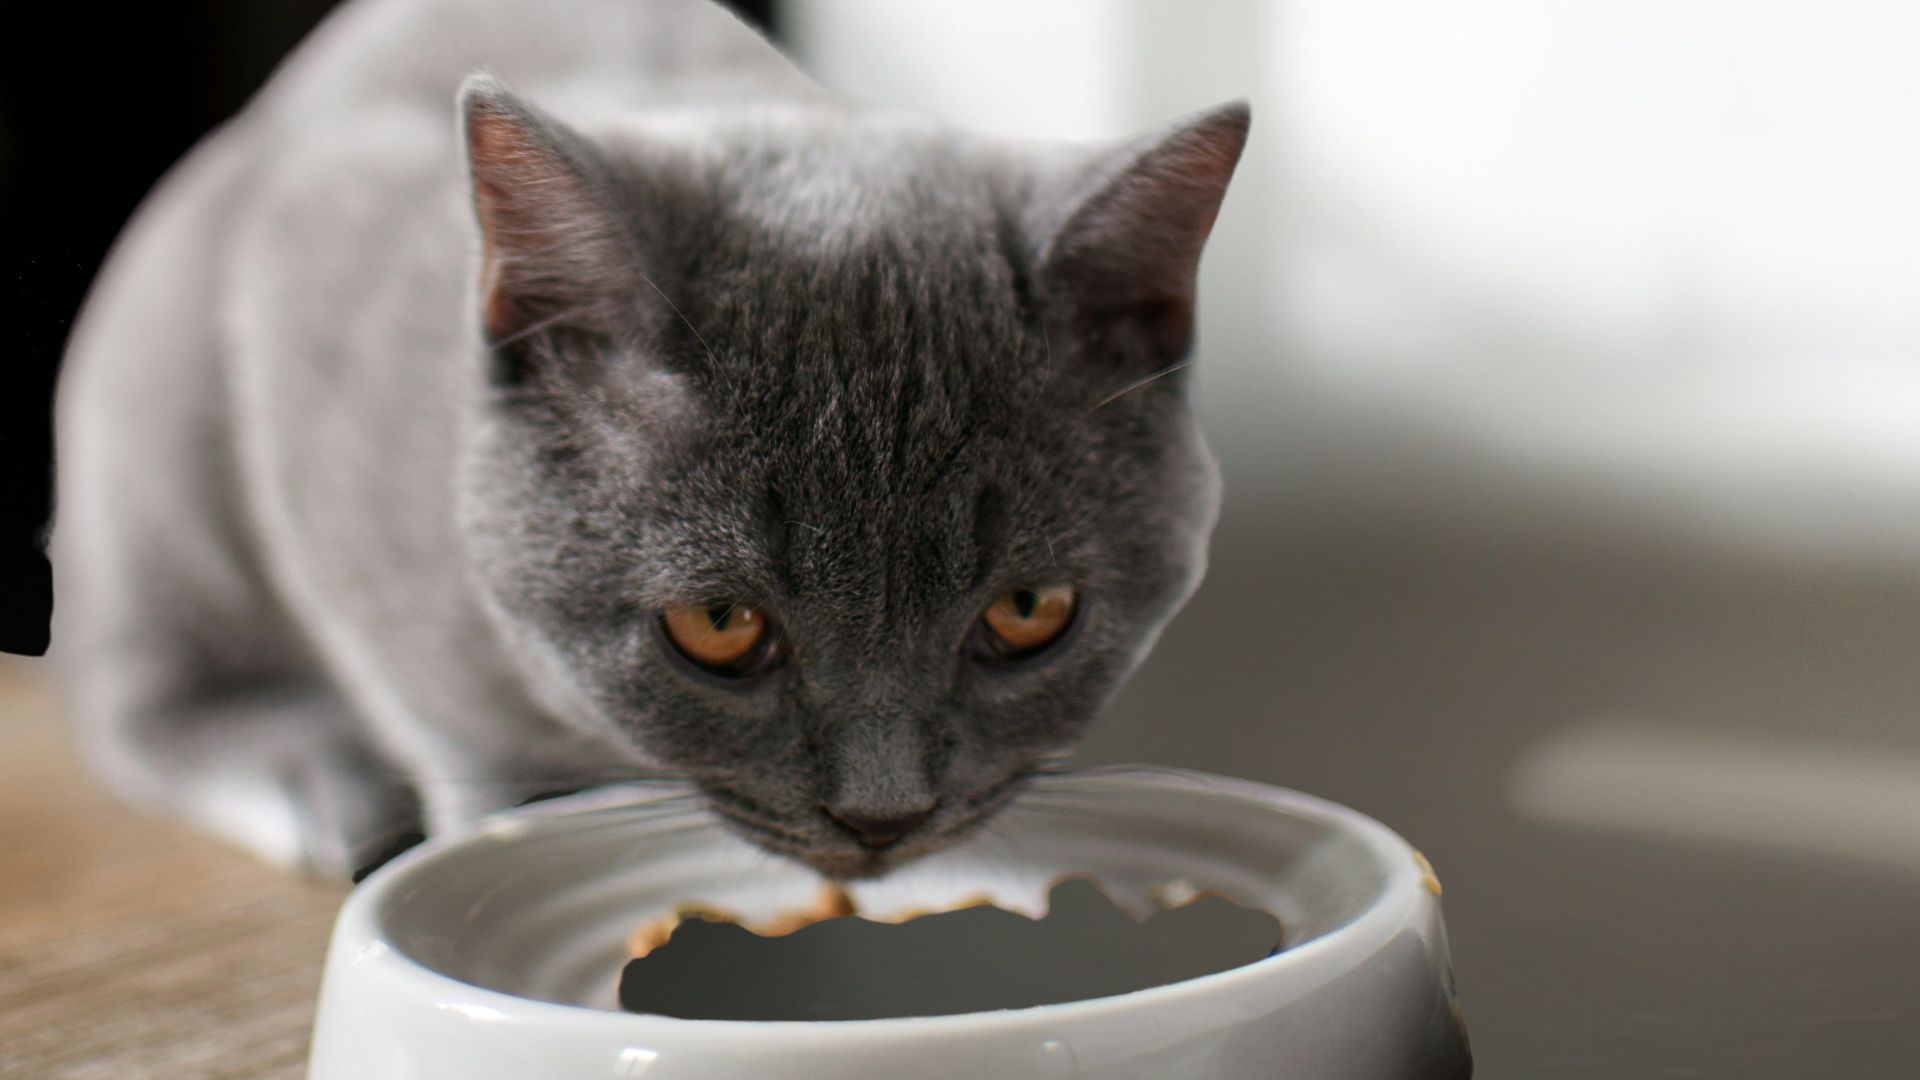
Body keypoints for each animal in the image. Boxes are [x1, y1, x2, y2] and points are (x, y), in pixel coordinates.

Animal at [48, 0, 1244, 876]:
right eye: (718, 625)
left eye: (1028, 611)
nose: (883, 817)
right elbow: (443, 716)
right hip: (156, 425)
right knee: (134, 694)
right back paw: (309, 778)